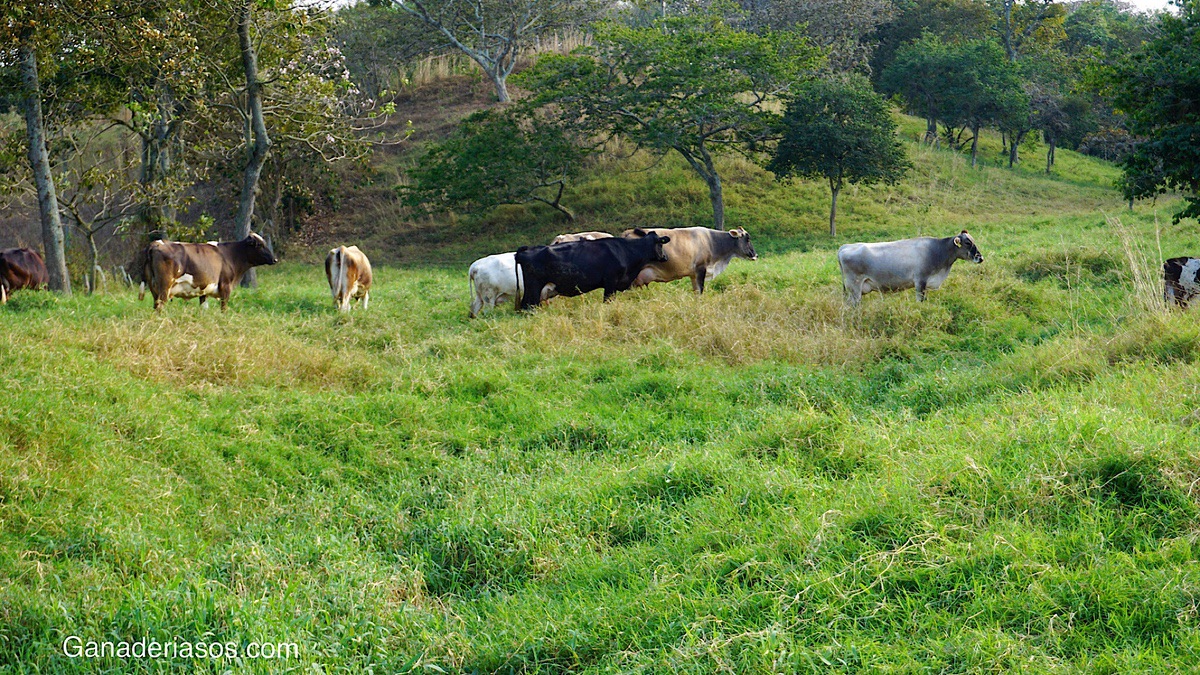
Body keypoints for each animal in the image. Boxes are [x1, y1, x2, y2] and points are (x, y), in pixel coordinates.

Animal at [138, 228, 276, 307]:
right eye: (259, 245)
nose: (275, 259)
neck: (231, 254)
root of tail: (156, 243)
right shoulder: (225, 287)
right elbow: (224, 308)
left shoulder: (203, 290)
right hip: (164, 287)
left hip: (154, 288)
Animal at [513, 227, 672, 309]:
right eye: (660, 244)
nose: (665, 257)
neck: (626, 250)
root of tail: (524, 251)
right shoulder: (610, 282)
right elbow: (608, 300)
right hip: (534, 288)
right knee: (527, 305)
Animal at [624, 225, 753, 291]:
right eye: (747, 239)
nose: (755, 255)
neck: (712, 241)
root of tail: (628, 232)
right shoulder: (701, 269)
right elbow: (700, 291)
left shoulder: (693, 274)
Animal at [835, 230, 984, 305]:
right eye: (967, 242)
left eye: (973, 240)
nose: (980, 258)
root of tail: (845, 246)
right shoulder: (920, 281)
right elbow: (920, 301)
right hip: (854, 288)